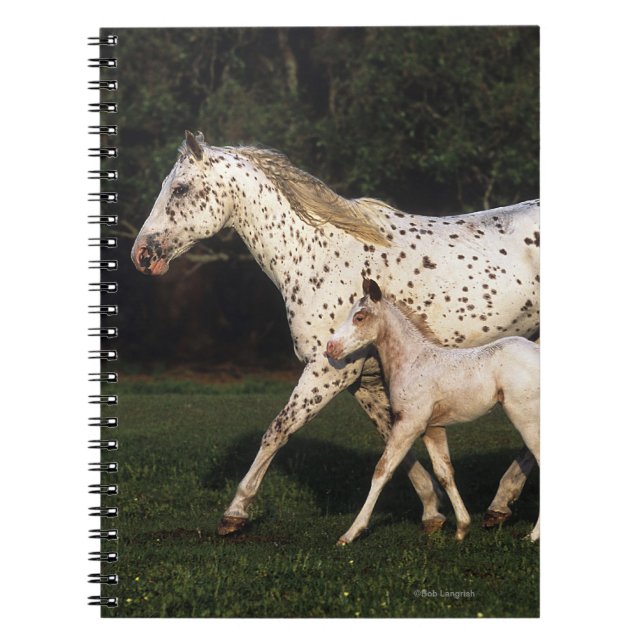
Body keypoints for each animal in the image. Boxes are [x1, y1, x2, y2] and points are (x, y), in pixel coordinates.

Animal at [326, 278, 540, 544]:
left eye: (360, 316)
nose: (330, 348)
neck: (413, 361)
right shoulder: (432, 428)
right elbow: (444, 473)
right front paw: (462, 528)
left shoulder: (409, 423)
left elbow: (383, 470)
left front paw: (350, 533)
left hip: (525, 417)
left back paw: (533, 535)